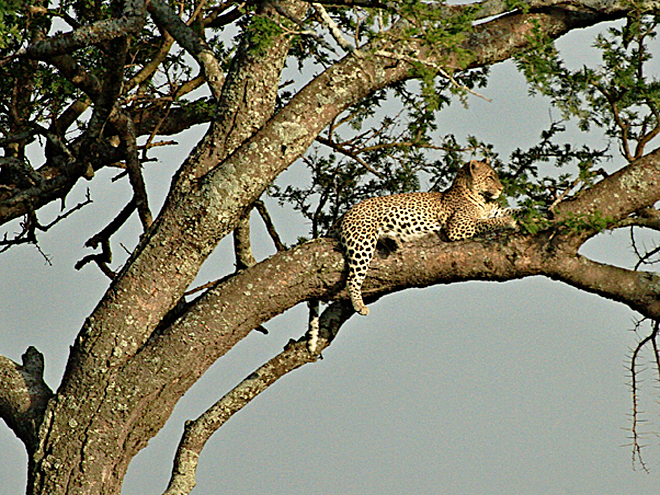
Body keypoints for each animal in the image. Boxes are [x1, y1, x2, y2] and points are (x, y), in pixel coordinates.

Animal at [340, 161, 516, 316]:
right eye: (490, 177)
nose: (501, 189)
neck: (482, 199)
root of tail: (347, 212)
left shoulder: (495, 211)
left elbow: (513, 211)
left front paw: (520, 216)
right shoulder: (458, 226)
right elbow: (486, 222)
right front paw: (509, 221)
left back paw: (393, 241)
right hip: (363, 241)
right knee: (352, 278)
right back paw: (360, 305)